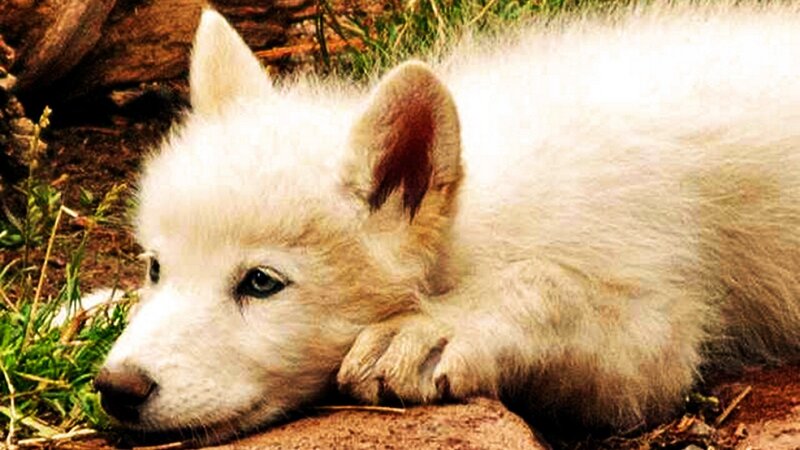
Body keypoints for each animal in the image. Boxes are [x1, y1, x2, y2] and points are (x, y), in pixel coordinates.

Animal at [94, 3, 800, 444]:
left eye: (262, 283)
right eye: (156, 267)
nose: (115, 387)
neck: (478, 215)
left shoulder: (652, 333)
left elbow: (551, 286)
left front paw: (435, 330)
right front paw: (84, 306)